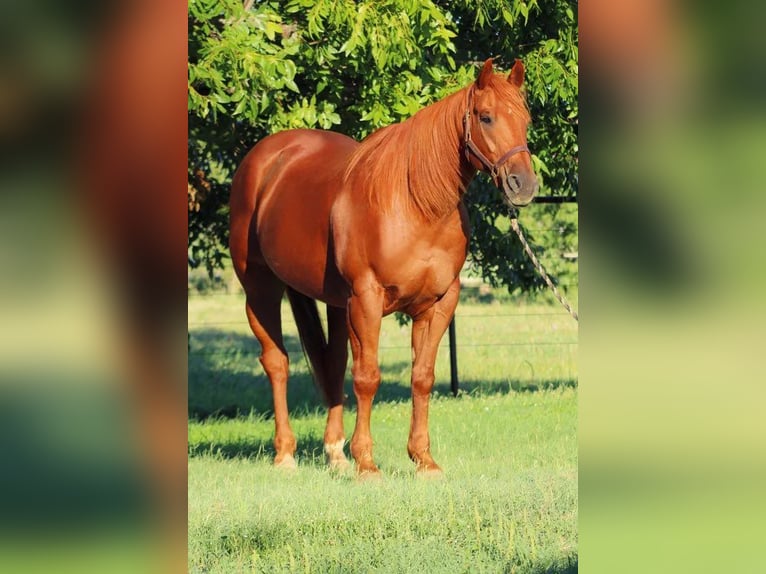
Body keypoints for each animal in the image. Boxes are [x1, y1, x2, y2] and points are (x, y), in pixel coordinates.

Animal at [231, 59, 536, 476]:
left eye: (526, 120)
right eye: (486, 117)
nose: (524, 185)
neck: (416, 205)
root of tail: (267, 158)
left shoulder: (439, 304)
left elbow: (421, 377)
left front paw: (424, 460)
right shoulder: (367, 299)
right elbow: (367, 377)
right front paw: (367, 464)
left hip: (336, 303)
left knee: (332, 363)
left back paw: (335, 454)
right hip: (261, 289)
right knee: (277, 363)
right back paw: (286, 454)